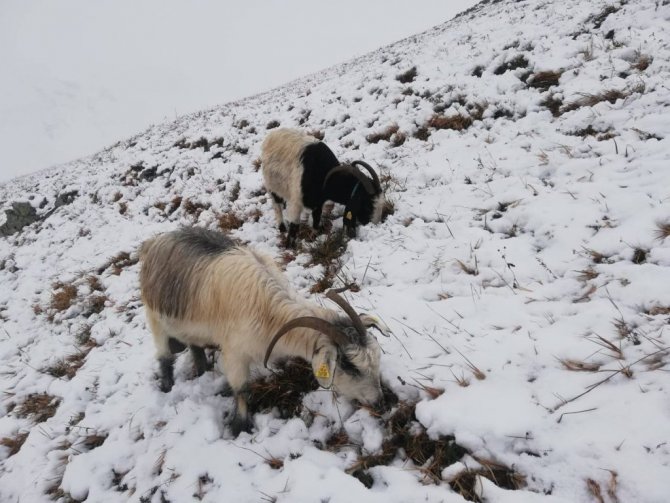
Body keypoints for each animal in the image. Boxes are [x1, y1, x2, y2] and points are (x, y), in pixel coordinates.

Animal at [139, 227, 387, 436]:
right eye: (350, 367)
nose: (381, 404)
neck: (268, 312)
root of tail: (153, 243)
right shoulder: (235, 354)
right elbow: (241, 390)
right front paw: (240, 428)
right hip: (156, 321)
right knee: (164, 356)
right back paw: (167, 386)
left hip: (189, 328)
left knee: (195, 347)